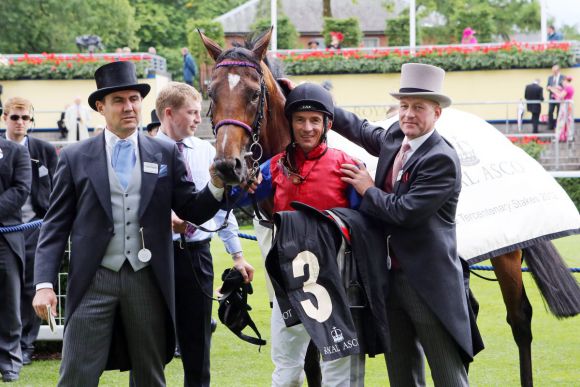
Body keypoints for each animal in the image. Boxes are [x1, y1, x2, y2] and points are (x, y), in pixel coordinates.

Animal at [201, 28, 580, 386]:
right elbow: (309, 361)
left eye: (253, 93)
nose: (226, 166)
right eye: (212, 93)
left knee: (519, 319)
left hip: (507, 254)